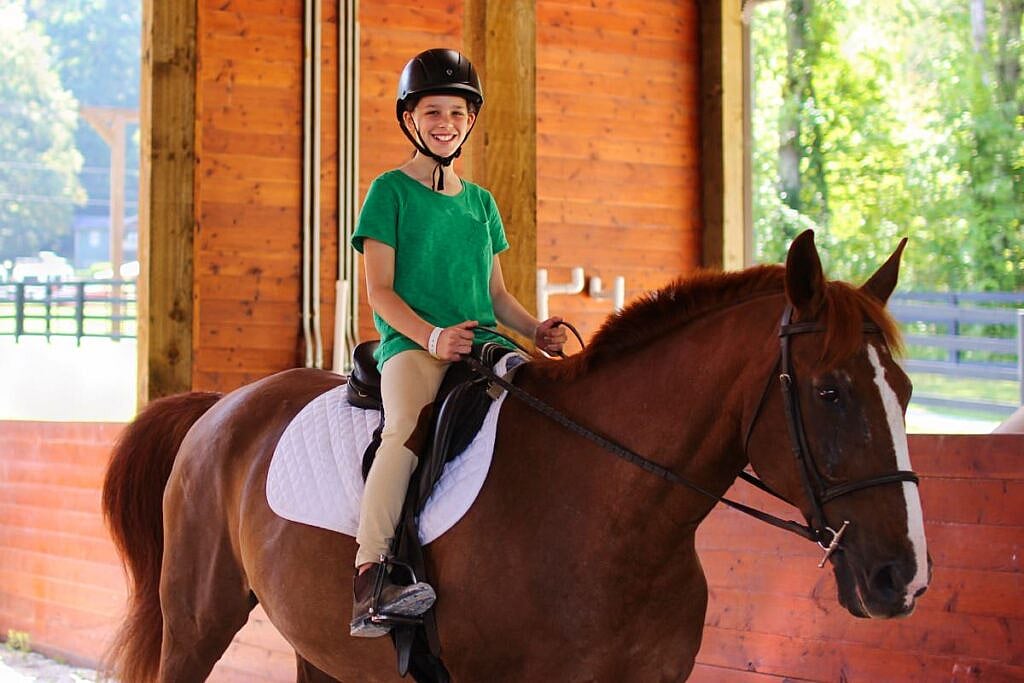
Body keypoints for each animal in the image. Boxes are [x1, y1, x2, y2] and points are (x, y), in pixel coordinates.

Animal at [101, 230, 930, 682]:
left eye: (906, 389)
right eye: (830, 391)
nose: (903, 577)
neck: (611, 514)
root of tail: (222, 405)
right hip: (198, 618)